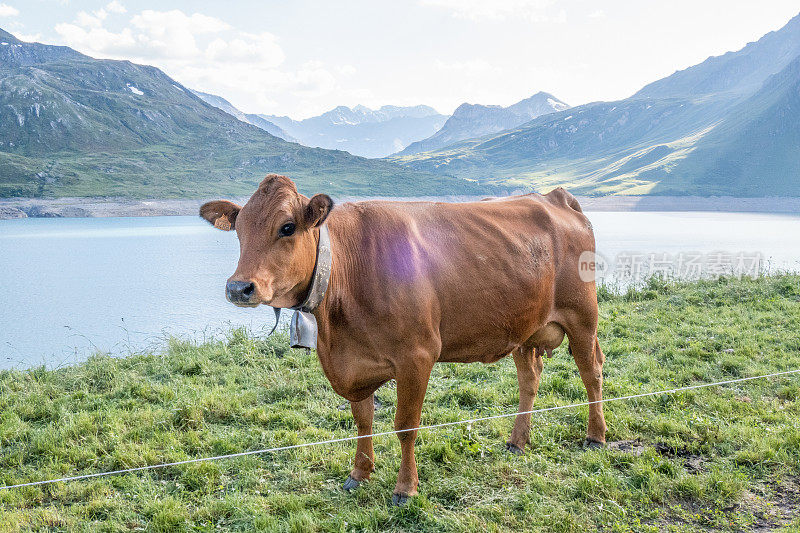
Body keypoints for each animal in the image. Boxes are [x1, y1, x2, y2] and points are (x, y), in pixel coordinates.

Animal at [202, 174, 608, 502]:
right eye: (239, 230)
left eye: (287, 227)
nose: (238, 287)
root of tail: (553, 197)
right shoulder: (355, 365)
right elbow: (362, 421)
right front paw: (359, 474)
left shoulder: (417, 356)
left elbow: (405, 426)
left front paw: (405, 488)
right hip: (524, 327)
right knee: (530, 379)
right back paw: (517, 441)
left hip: (583, 316)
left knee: (592, 372)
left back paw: (596, 436)